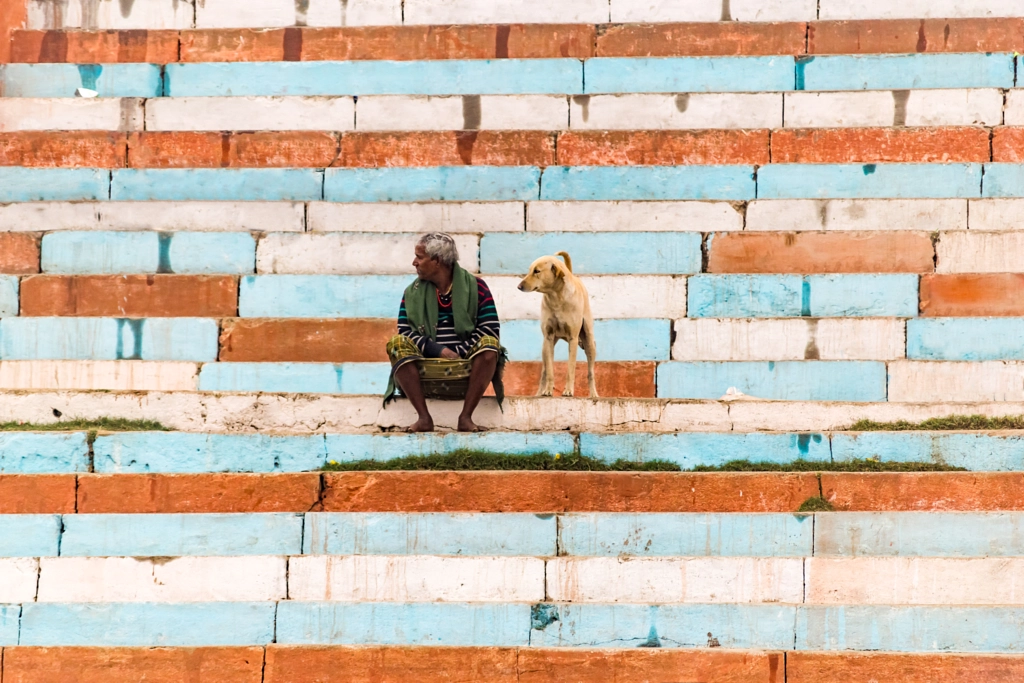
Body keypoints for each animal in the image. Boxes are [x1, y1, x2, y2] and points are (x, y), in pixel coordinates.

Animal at [516, 252, 598, 397]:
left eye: (537, 271)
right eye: (530, 270)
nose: (519, 286)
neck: (556, 297)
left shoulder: (573, 338)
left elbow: (571, 368)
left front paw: (568, 390)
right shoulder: (548, 337)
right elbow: (549, 370)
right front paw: (548, 390)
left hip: (589, 340)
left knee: (590, 372)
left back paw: (593, 394)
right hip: (545, 347)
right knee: (544, 371)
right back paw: (539, 392)